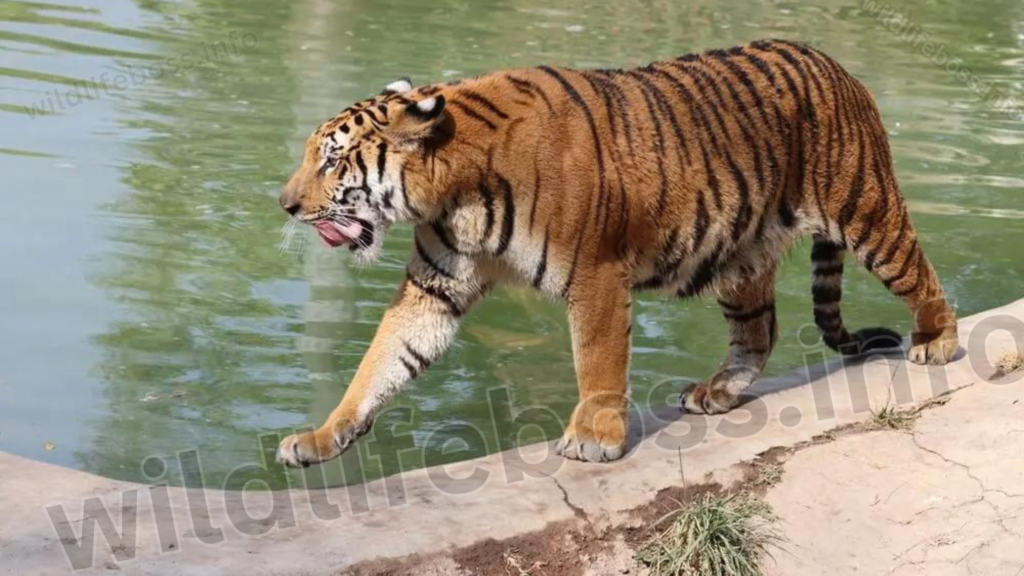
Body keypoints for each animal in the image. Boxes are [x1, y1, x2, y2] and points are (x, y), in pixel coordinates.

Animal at [274, 36, 958, 467]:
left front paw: (594, 439)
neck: (451, 194)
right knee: (758, 331)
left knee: (920, 272)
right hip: (741, 253)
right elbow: (382, 361)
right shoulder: (435, 288)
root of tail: (836, 63)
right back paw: (717, 393)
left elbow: (597, 363)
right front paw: (321, 437)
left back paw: (938, 342)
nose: (285, 204)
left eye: (331, 161)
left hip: (865, 210)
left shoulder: (595, 274)